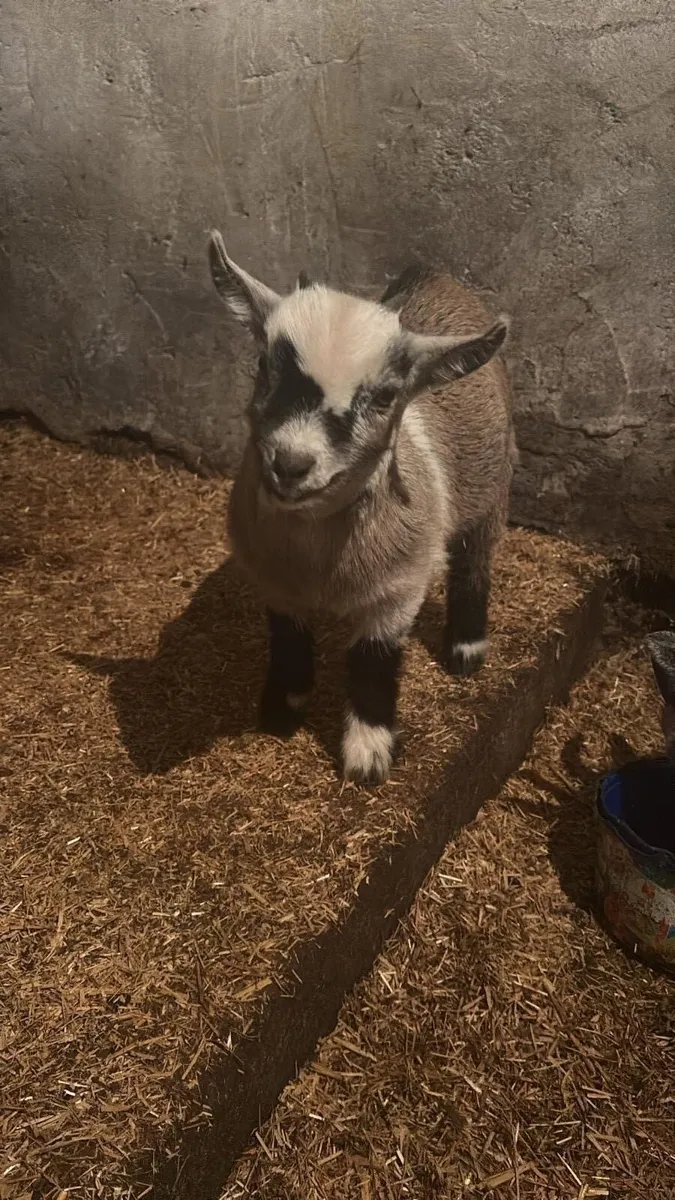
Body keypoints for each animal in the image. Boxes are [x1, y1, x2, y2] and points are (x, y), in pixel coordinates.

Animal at [209, 231, 515, 784]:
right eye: (264, 366)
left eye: (385, 397)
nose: (290, 464)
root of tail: (434, 276)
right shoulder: (273, 579)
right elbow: (287, 638)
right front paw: (282, 708)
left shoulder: (400, 588)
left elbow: (375, 661)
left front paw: (368, 756)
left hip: (494, 485)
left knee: (475, 559)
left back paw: (465, 649)